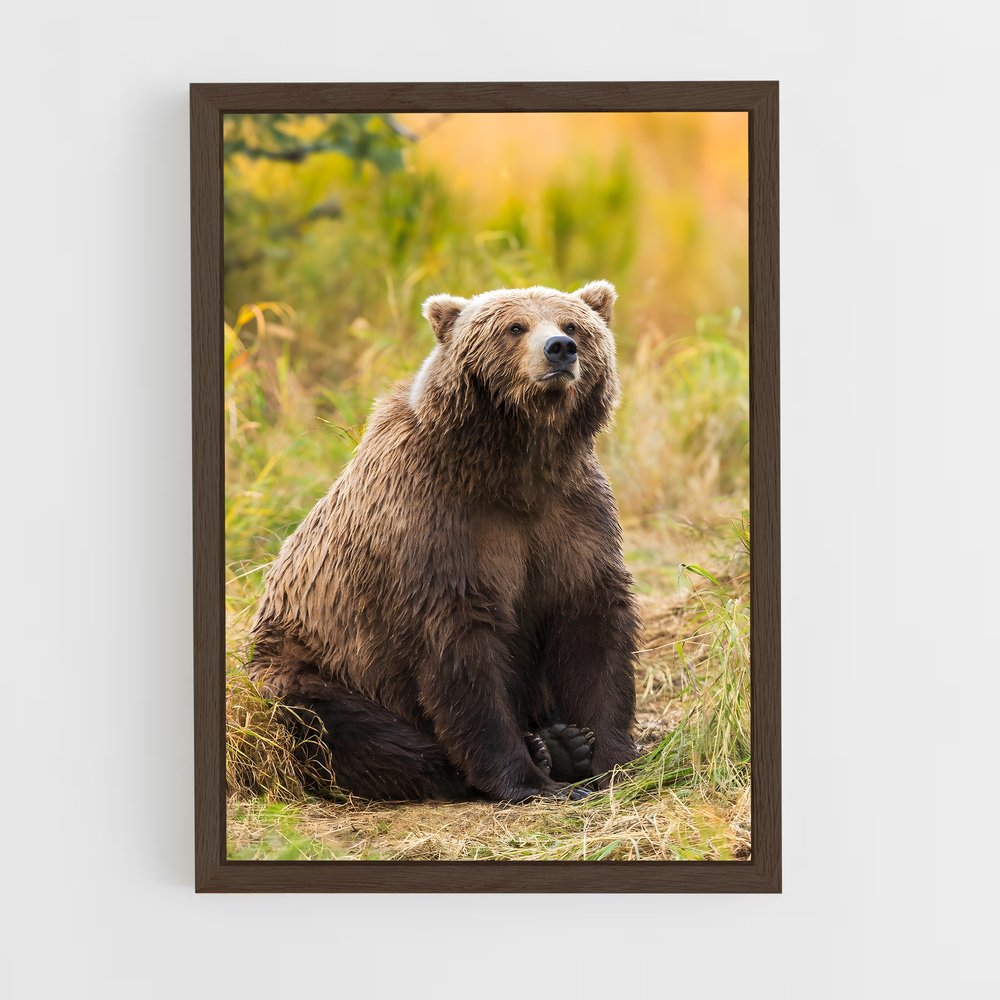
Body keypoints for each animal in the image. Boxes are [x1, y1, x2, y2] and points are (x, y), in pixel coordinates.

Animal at [247, 280, 640, 802]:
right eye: (515, 327)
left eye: (572, 324)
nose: (559, 349)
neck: (513, 466)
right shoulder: (435, 523)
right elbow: (460, 648)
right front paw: (528, 778)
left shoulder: (571, 515)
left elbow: (591, 623)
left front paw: (612, 757)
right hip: (304, 663)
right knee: (340, 727)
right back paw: (537, 751)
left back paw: (564, 744)